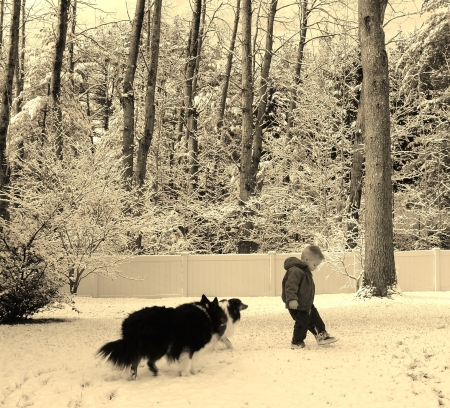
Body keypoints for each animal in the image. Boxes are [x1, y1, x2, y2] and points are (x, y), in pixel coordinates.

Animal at [96, 294, 227, 378]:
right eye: (220, 311)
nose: (225, 321)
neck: (207, 313)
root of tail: (130, 322)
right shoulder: (190, 347)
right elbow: (189, 362)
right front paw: (187, 374)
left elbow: (191, 361)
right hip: (162, 345)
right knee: (149, 362)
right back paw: (159, 374)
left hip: (141, 347)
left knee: (134, 365)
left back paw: (135, 378)